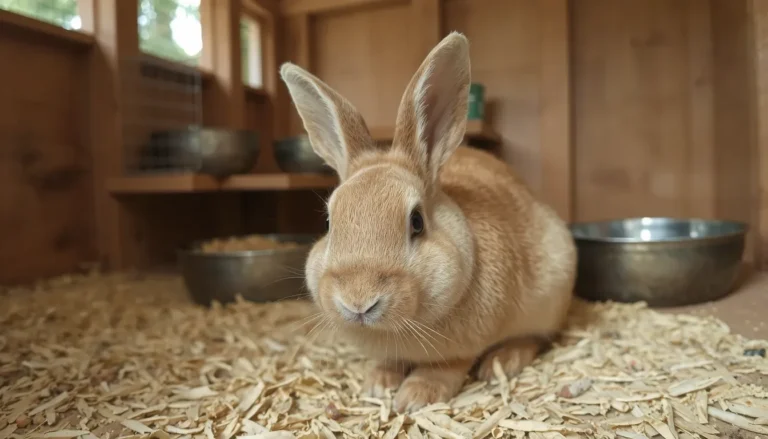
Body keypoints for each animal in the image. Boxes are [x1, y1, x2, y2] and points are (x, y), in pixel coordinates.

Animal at [279, 31, 577, 413]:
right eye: (329, 221)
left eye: (417, 222)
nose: (358, 302)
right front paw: (379, 383)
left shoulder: (459, 349)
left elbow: (444, 367)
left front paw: (415, 396)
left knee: (536, 338)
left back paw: (502, 362)